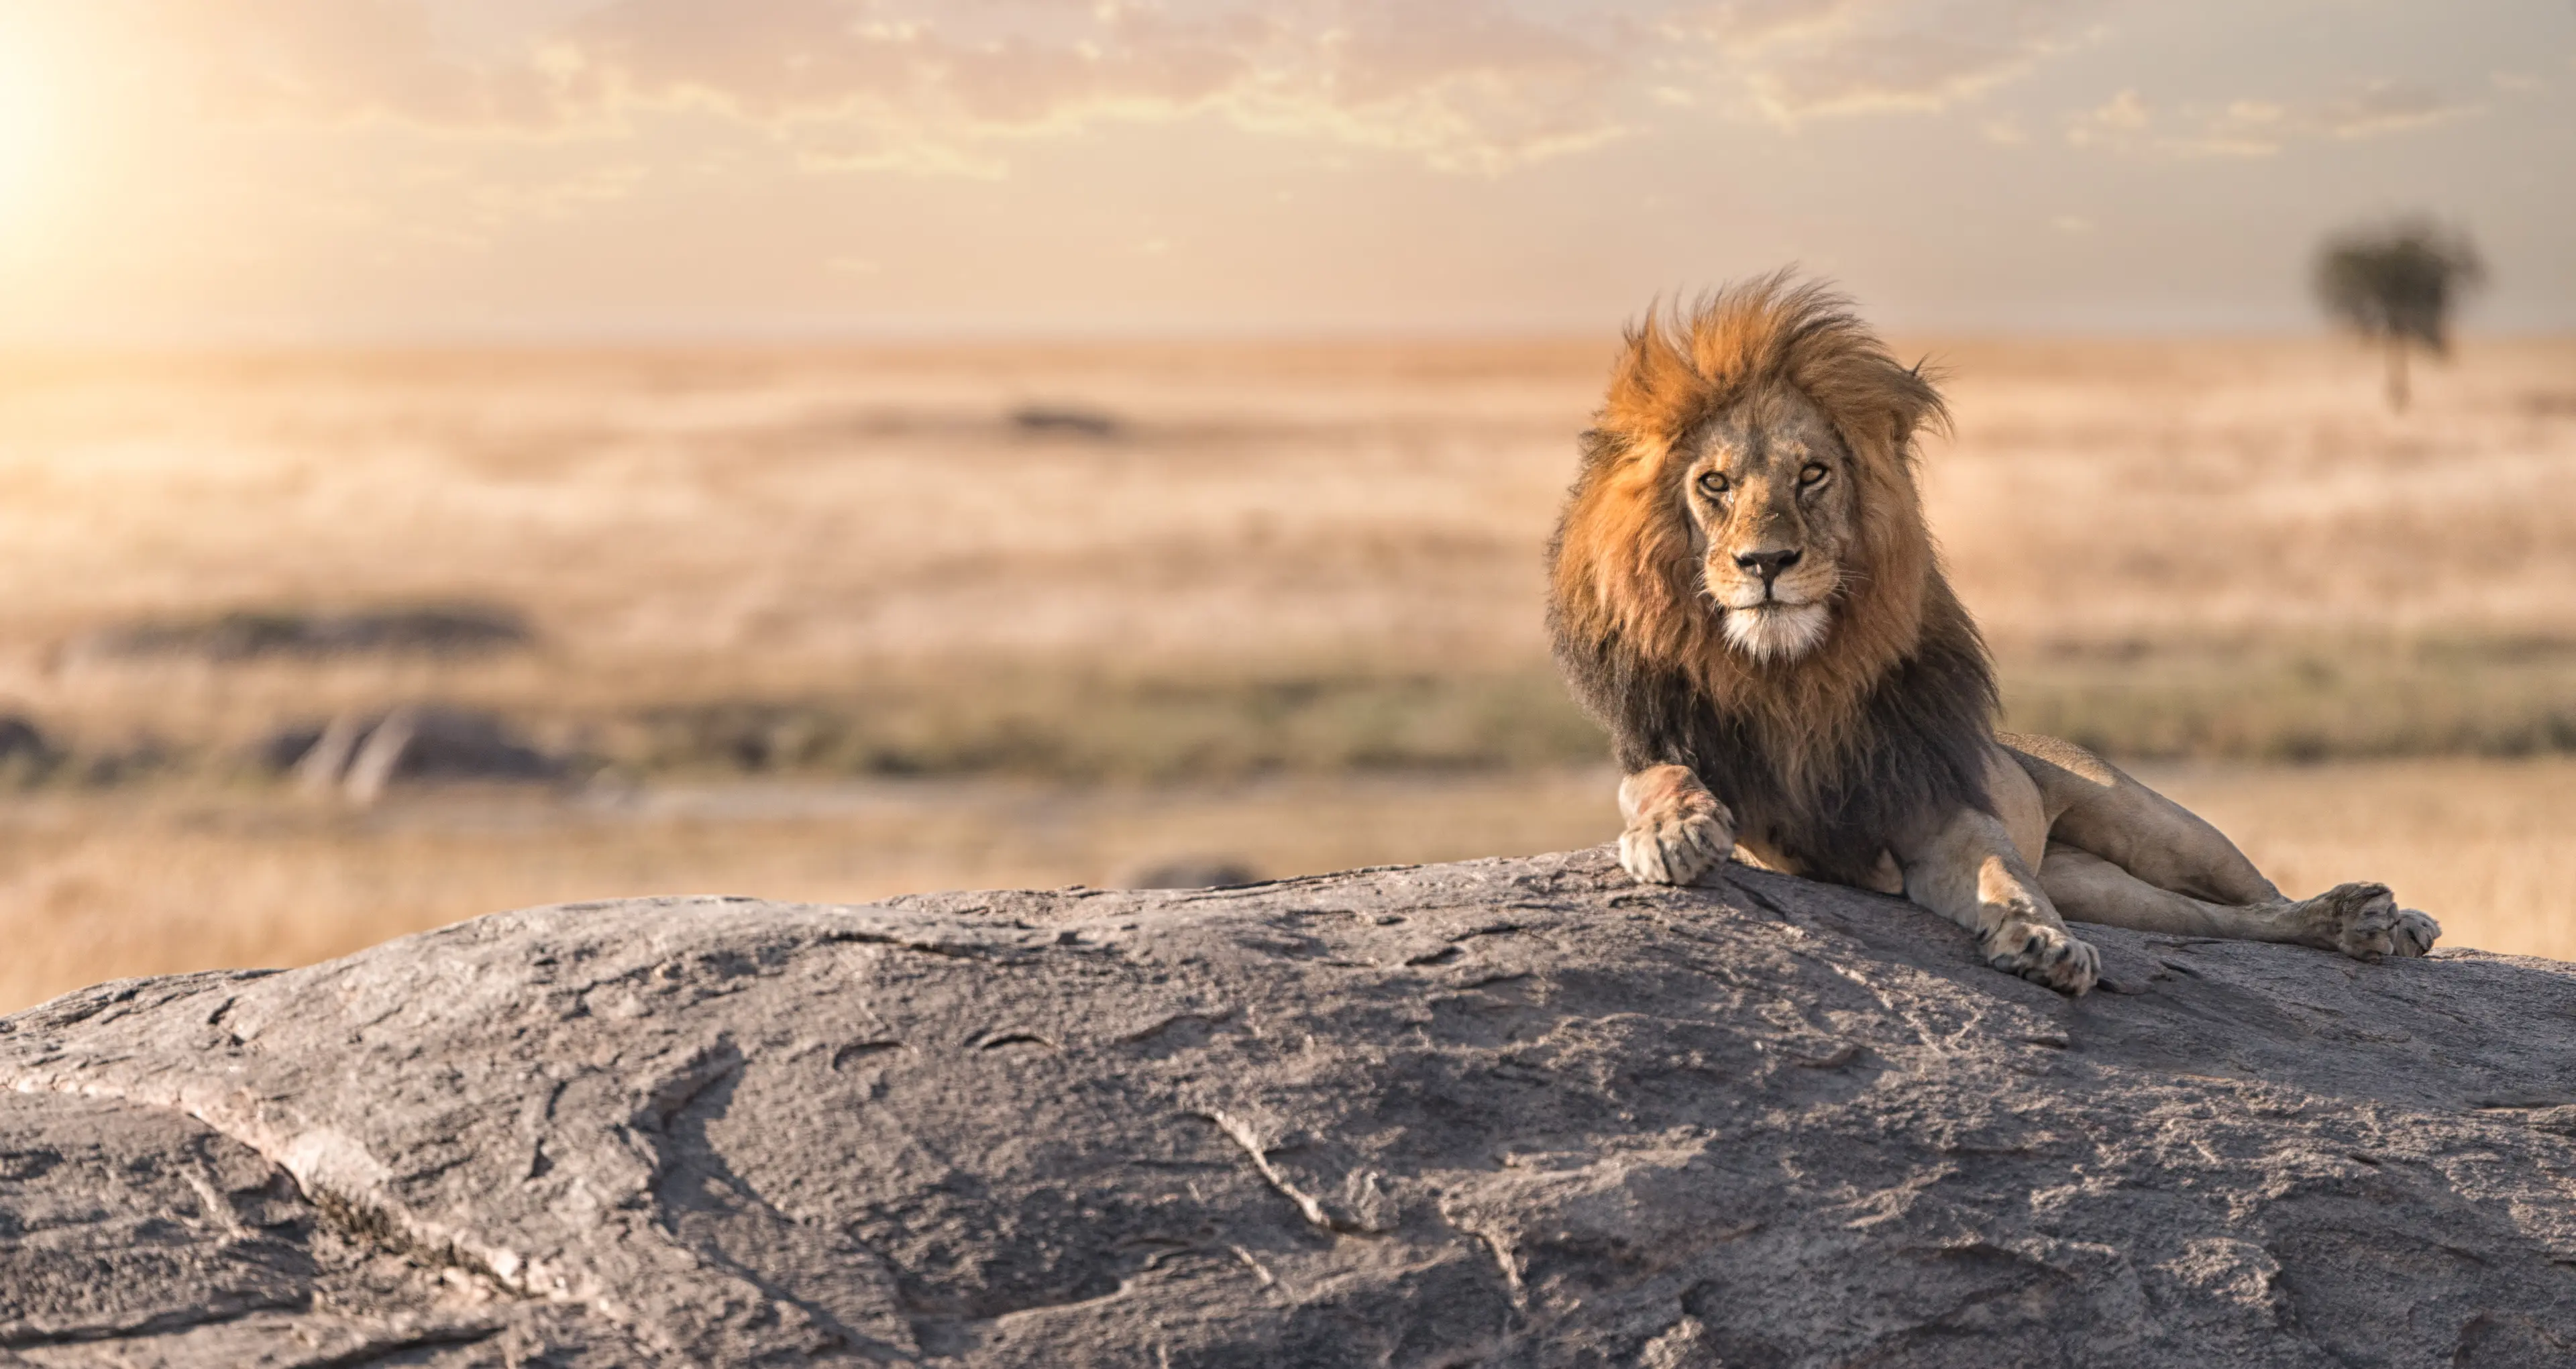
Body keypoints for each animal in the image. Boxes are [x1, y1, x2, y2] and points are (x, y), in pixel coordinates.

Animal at [1546, 272, 2431, 993]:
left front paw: (2043, 941)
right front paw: (1674, 830)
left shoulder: (1937, 805)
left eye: (1813, 474)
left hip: (2156, 825)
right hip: (2108, 889)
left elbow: (2002, 873)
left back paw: (2380, 918)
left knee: (2256, 898)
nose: (1766, 562)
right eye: (1716, 484)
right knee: (2216, 923)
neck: (1792, 674)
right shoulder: (1706, 774)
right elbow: (1657, 779)